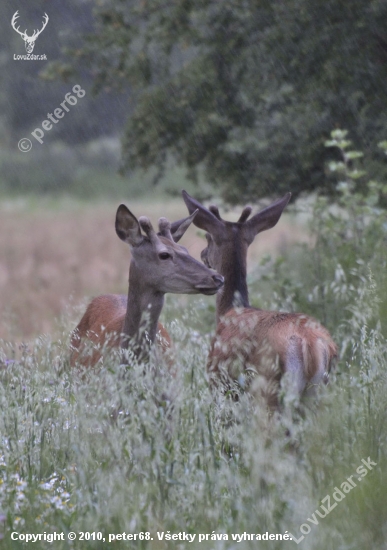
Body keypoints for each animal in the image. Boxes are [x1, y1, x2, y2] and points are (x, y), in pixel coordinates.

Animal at [182, 192, 336, 408]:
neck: (229, 310)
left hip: (269, 389)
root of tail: (311, 346)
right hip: (320, 393)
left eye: (208, 237)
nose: (203, 254)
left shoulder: (219, 385)